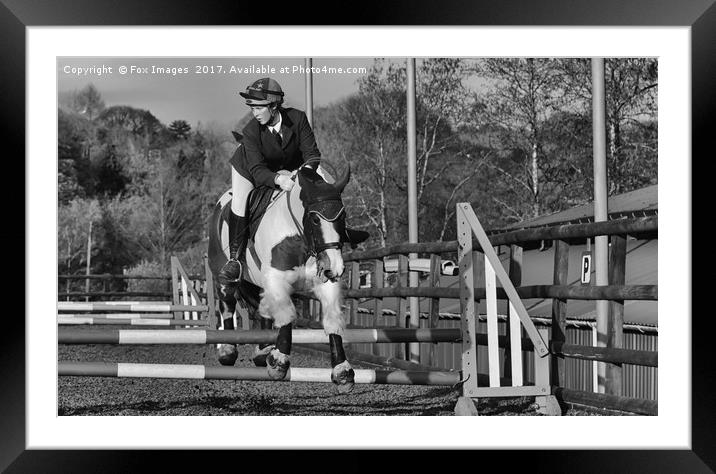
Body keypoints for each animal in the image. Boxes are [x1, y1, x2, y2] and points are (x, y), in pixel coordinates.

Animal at [206, 163, 364, 392]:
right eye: (315, 218)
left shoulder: (326, 284)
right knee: (227, 300)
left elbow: (333, 319)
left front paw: (343, 371)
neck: (299, 235)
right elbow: (287, 313)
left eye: (342, 217)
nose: (334, 268)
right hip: (222, 269)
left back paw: (263, 350)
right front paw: (278, 362)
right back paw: (228, 350)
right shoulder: (278, 279)